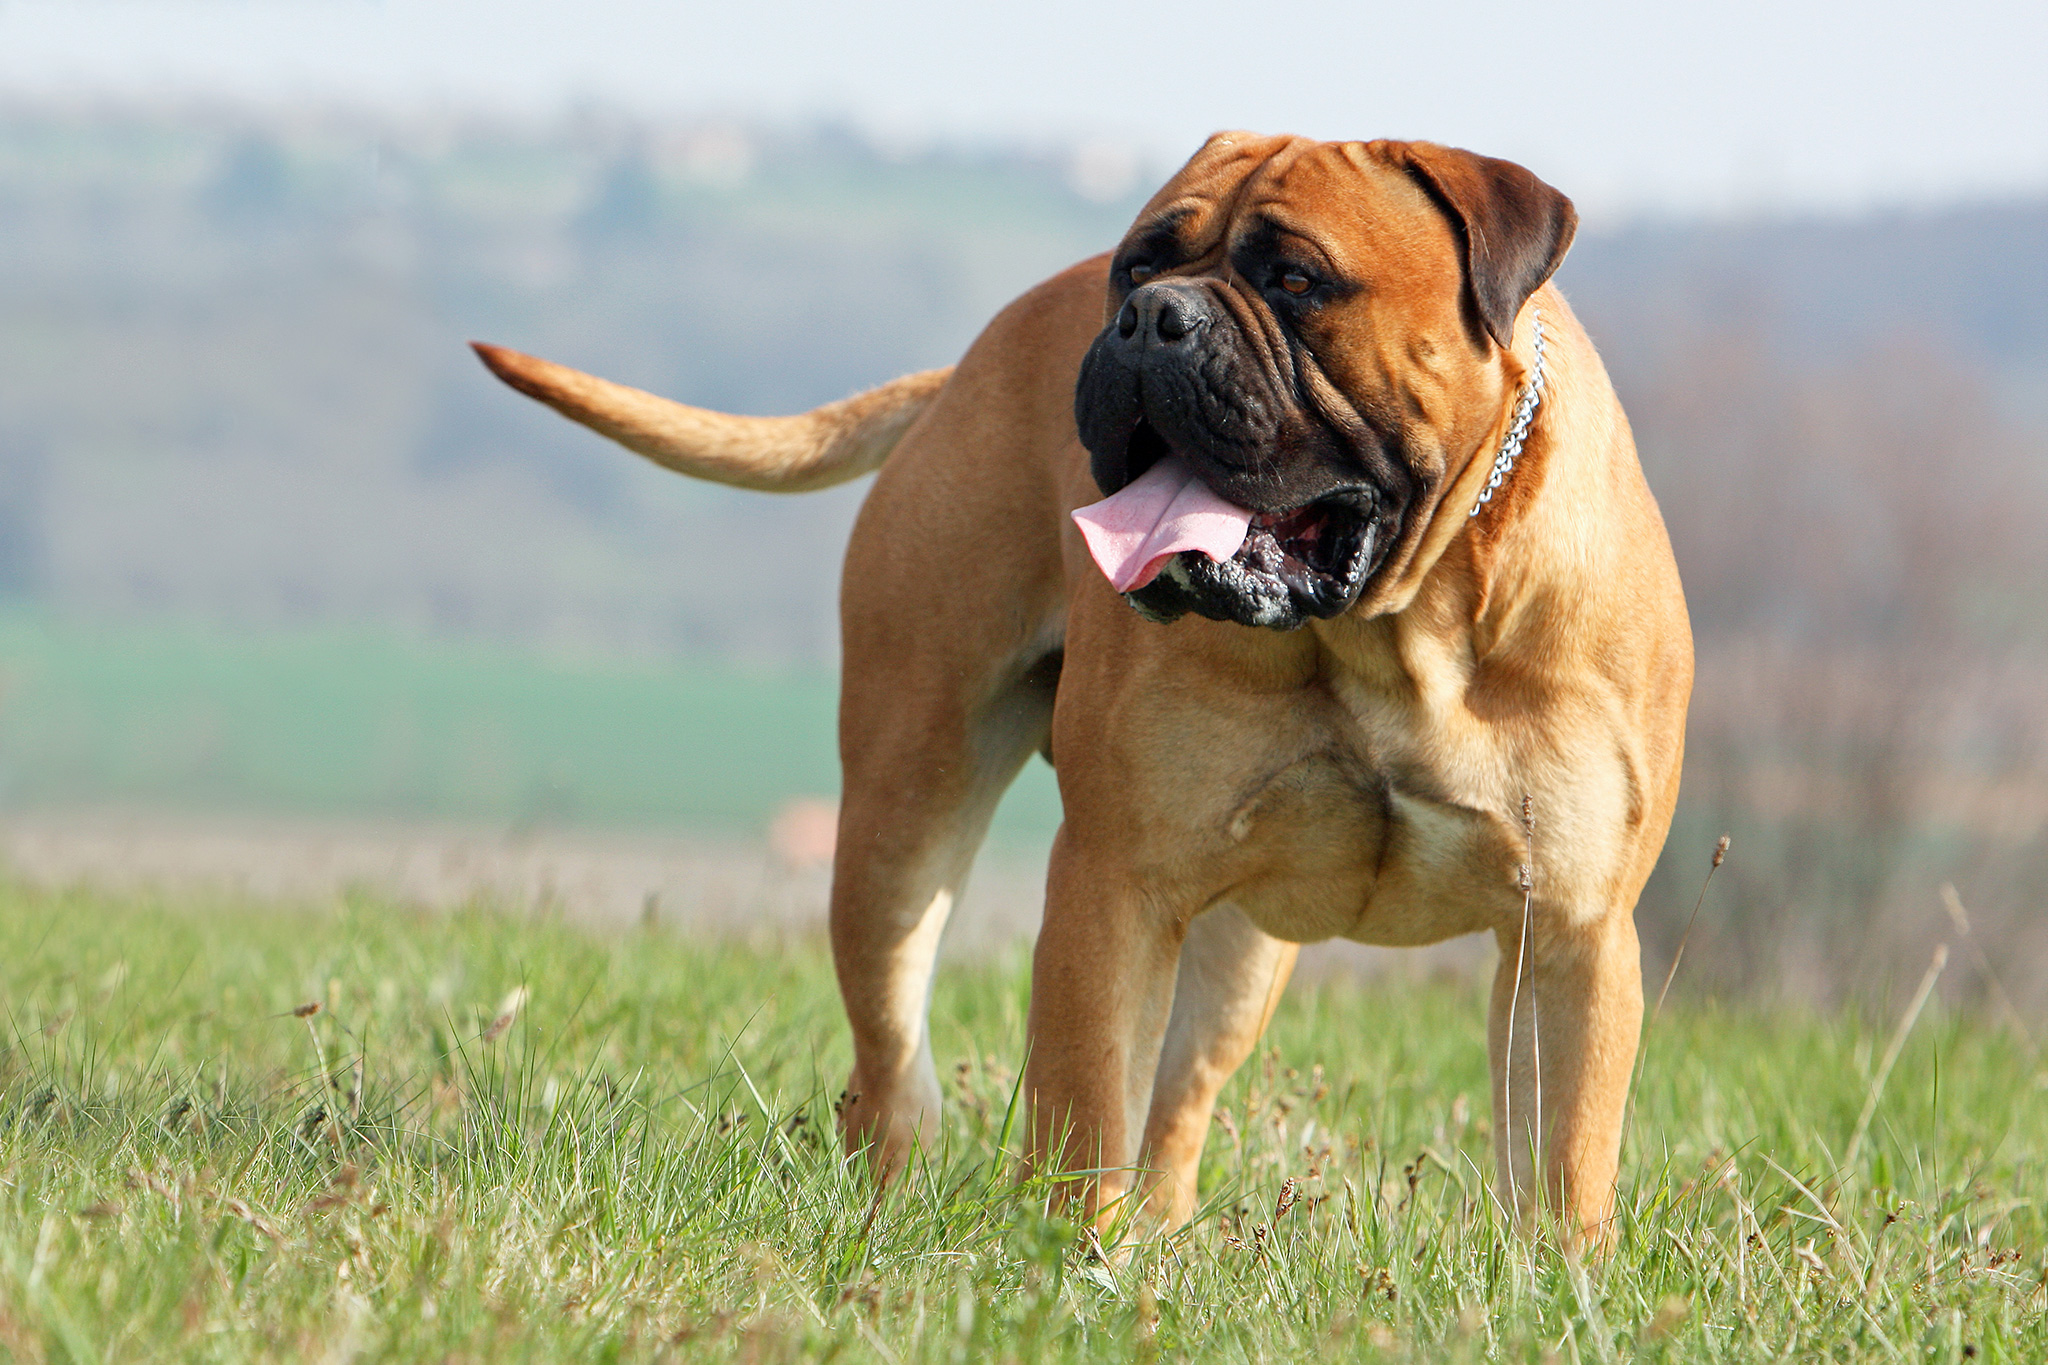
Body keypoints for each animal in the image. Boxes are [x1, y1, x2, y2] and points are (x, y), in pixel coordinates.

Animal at [471, 133, 1687, 1244]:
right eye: (1136, 264)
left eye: (1297, 279)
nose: (1151, 318)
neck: (1389, 628)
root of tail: (959, 372)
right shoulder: (1115, 883)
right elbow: (1087, 1102)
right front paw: (1071, 1260)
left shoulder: (1571, 933)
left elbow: (1564, 1156)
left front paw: (1556, 1284)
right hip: (902, 820)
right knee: (894, 1056)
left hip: (1237, 951)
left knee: (1179, 1105)